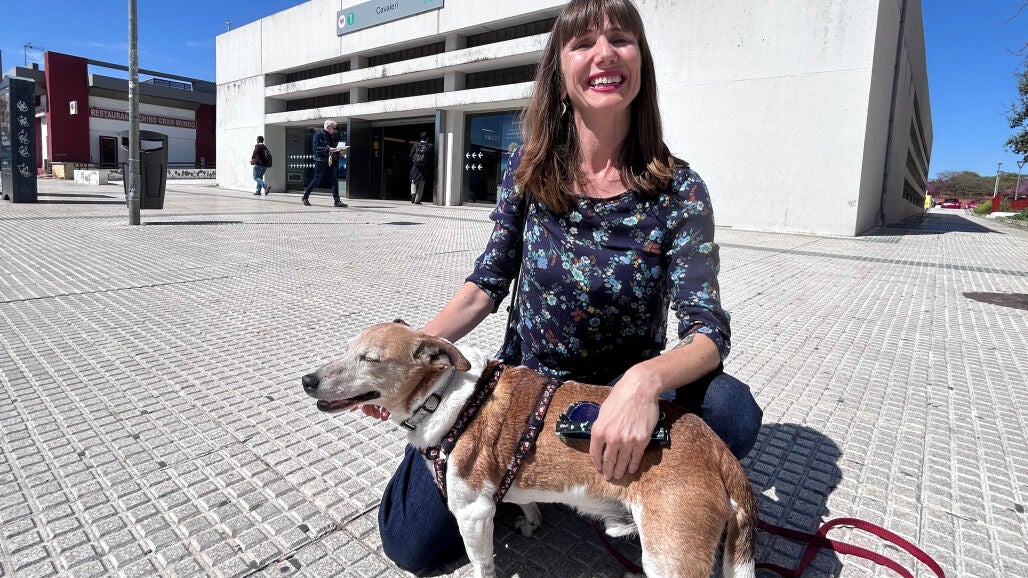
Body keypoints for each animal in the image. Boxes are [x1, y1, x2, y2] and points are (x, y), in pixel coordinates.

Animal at [302, 321, 757, 578]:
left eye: (369, 359)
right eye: (346, 349)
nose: (307, 380)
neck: (444, 394)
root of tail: (716, 448)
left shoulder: (472, 513)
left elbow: (483, 565)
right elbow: (524, 498)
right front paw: (531, 519)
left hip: (669, 555)